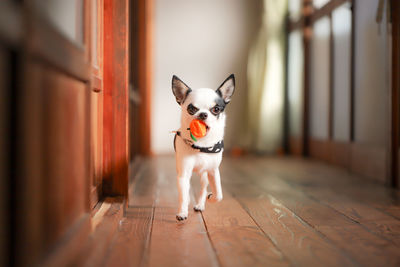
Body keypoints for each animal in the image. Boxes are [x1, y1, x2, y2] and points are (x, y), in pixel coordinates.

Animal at [171, 74, 234, 221]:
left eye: (216, 109)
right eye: (191, 109)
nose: (203, 114)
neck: (202, 145)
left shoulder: (213, 171)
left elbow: (219, 194)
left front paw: (211, 197)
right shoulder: (184, 173)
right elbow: (183, 195)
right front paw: (182, 212)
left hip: (204, 175)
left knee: (203, 188)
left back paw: (200, 204)